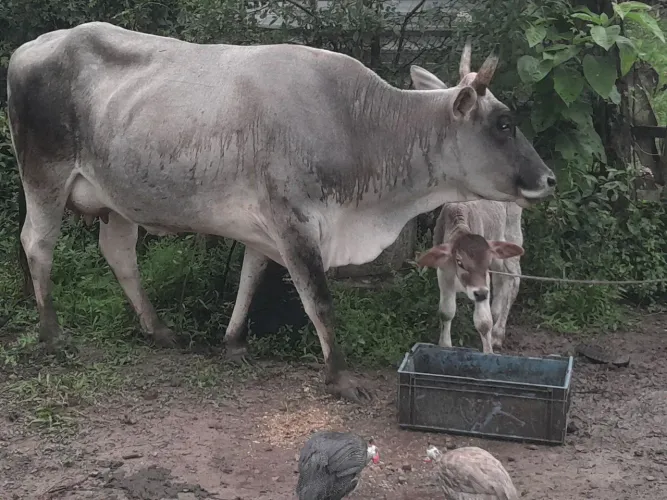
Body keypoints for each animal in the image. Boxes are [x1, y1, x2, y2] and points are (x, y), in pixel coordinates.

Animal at [416, 200, 524, 354]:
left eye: (486, 262)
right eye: (459, 262)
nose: (481, 294)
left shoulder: (483, 282)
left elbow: (484, 322)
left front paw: (488, 352)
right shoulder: (444, 273)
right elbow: (446, 312)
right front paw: (445, 345)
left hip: (512, 235)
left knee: (513, 280)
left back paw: (498, 333)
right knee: (500, 280)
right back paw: (495, 314)